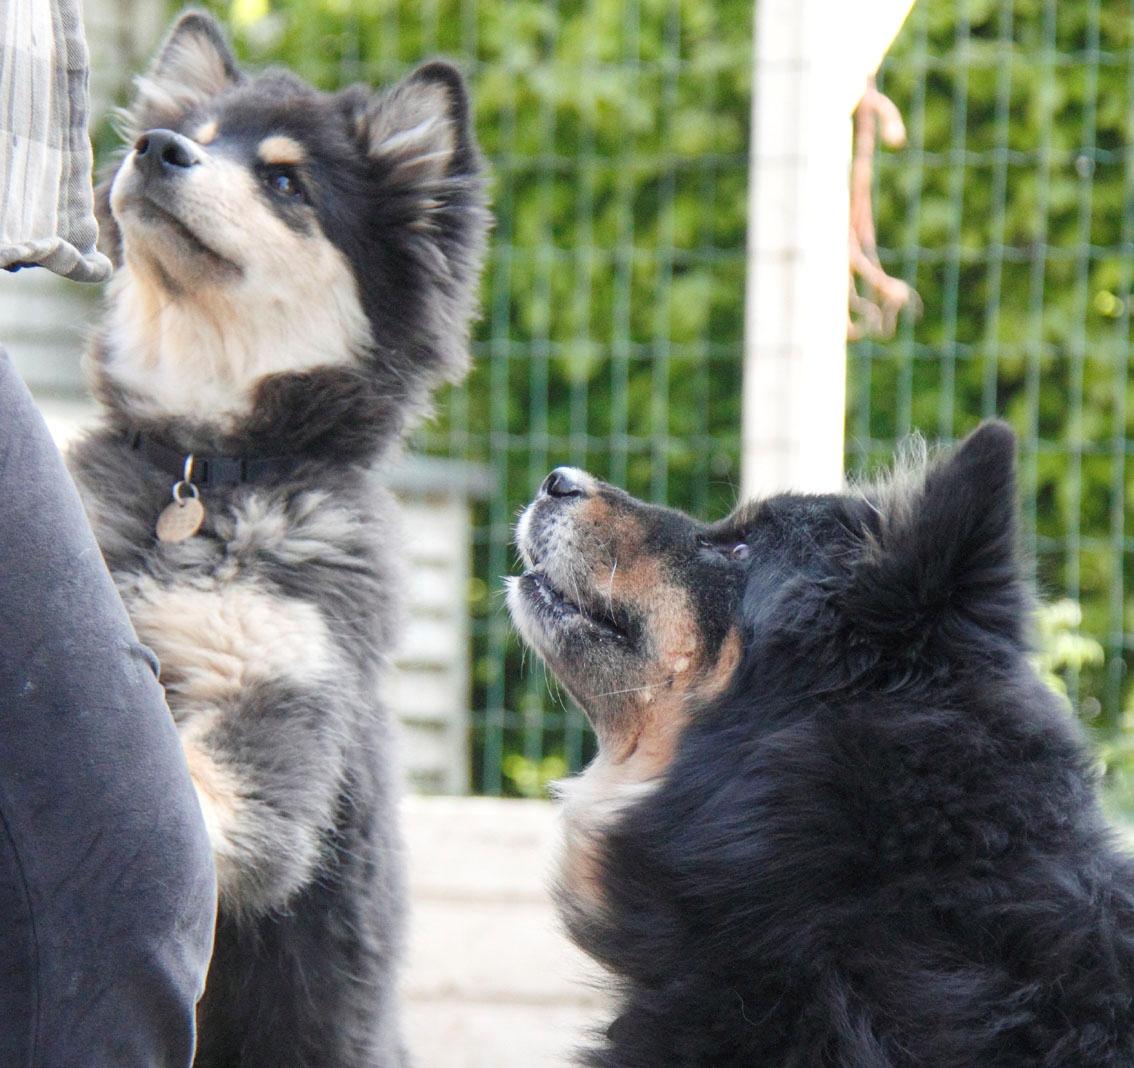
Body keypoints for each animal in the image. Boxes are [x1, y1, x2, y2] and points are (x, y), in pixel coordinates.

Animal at [65, 10, 483, 1068]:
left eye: (288, 182)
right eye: (199, 137)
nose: (154, 148)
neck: (205, 474)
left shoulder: (277, 704)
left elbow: (205, 789)